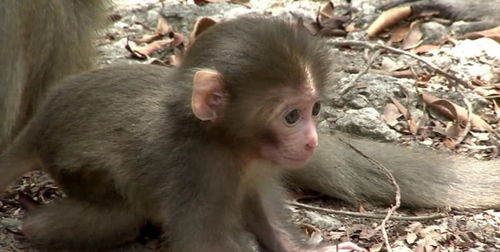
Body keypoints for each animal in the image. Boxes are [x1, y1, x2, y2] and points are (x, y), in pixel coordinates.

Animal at [0, 16, 366, 251]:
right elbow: (201, 241)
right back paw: (34, 221)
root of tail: (42, 120)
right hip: (76, 168)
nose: (311, 141)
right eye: (291, 116)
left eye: (314, 110)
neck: (224, 140)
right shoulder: (197, 169)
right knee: (122, 215)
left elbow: (262, 209)